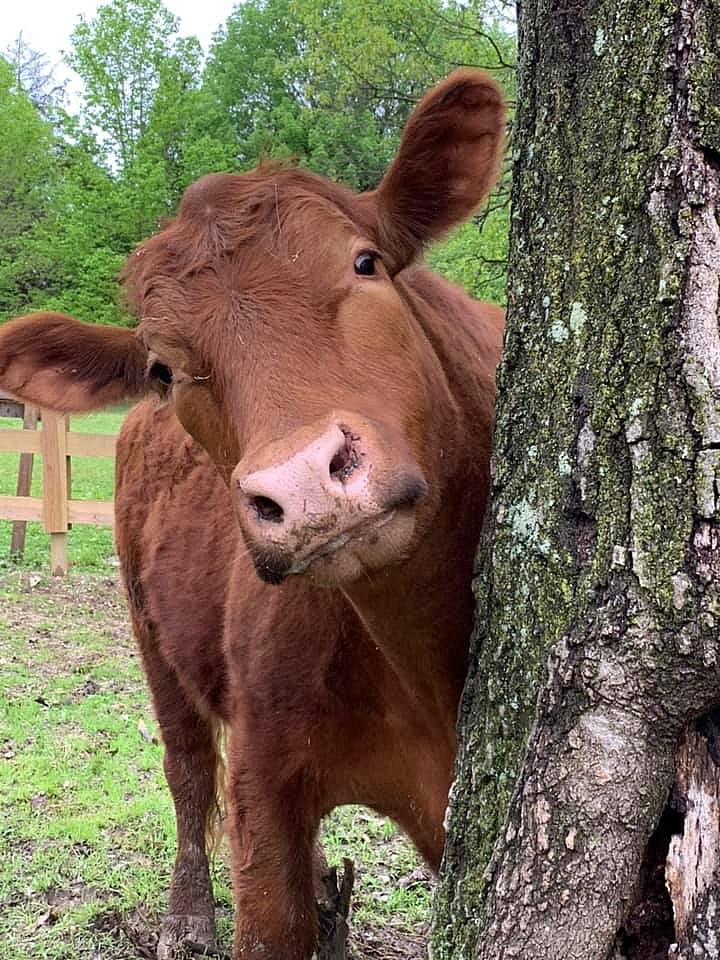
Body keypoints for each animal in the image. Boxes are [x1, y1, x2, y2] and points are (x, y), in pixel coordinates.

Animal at [0, 70, 505, 959]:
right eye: (164, 368)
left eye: (364, 262)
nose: (303, 484)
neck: (420, 655)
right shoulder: (265, 783)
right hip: (149, 633)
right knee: (185, 767)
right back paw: (188, 914)